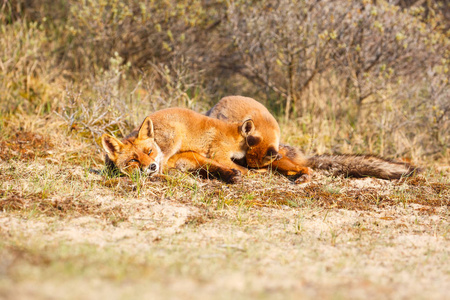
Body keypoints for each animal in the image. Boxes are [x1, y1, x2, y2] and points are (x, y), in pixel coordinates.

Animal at [101, 108, 274, 183]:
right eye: (133, 160)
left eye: (149, 151)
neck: (230, 134)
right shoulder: (219, 155)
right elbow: (245, 170)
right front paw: (256, 172)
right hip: (174, 140)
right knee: (162, 167)